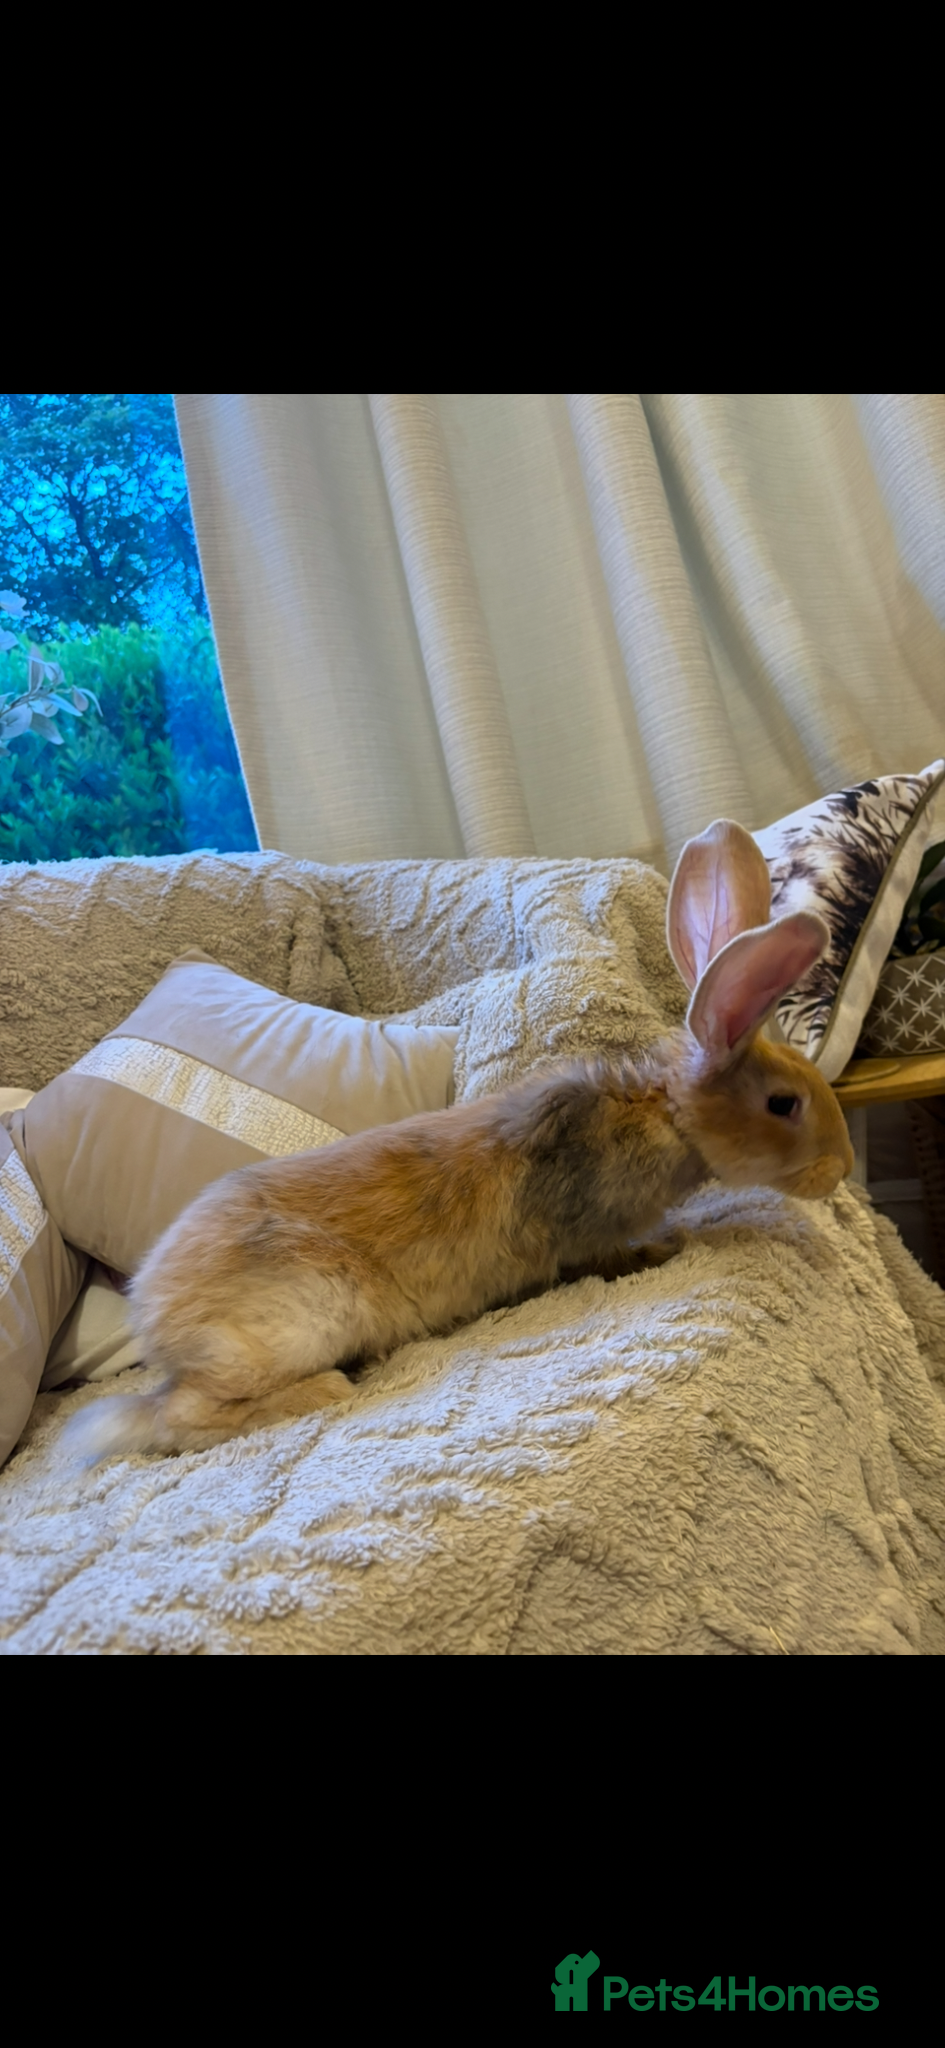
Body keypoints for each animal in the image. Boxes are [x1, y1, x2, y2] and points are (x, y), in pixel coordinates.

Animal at [65, 819, 854, 1461]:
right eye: (782, 1104)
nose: (841, 1169)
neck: (662, 1114)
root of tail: (152, 1317)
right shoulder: (584, 1232)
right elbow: (607, 1255)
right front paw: (664, 1249)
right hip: (295, 1321)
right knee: (177, 1419)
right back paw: (321, 1392)